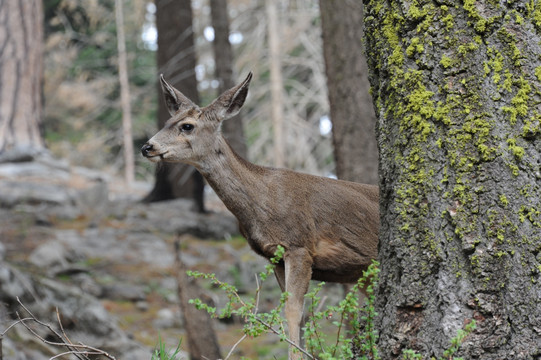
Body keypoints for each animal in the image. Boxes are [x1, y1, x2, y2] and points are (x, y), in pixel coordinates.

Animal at [142, 71, 380, 358]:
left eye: (187, 126)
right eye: (168, 121)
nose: (147, 147)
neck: (262, 201)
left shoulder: (299, 246)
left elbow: (293, 312)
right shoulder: (274, 256)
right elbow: (299, 316)